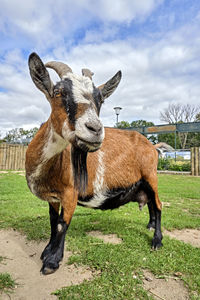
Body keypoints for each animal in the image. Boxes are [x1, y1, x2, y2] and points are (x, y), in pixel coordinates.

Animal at [25, 53, 162, 274]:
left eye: (100, 100)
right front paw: (46, 251)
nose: (95, 129)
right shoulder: (53, 197)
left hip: (151, 175)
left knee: (158, 204)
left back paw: (157, 241)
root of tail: (151, 146)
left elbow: (62, 224)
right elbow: (53, 221)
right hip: (143, 182)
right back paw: (150, 226)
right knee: (150, 202)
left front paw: (51, 261)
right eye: (58, 92)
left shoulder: (70, 193)